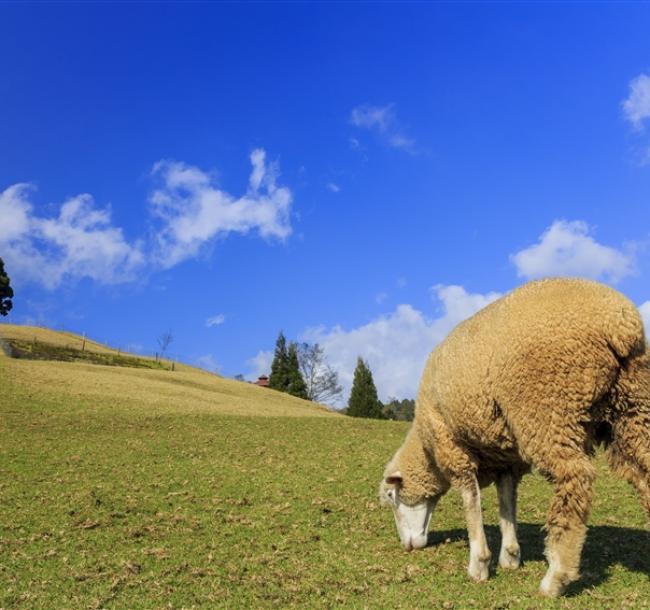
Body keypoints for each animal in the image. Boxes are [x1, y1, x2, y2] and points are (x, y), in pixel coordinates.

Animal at [378, 278, 648, 596]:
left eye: (392, 498)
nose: (408, 546)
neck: (426, 449)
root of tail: (618, 320)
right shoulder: (505, 457)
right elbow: (507, 503)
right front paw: (510, 557)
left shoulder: (453, 446)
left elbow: (471, 501)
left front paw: (479, 564)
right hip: (631, 407)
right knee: (644, 472)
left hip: (547, 407)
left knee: (575, 478)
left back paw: (555, 577)